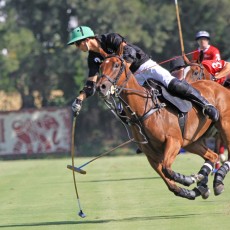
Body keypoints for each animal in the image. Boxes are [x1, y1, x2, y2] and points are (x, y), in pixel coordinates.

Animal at [96, 53, 230, 199]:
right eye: (101, 67)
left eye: (116, 65)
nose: (101, 87)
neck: (144, 109)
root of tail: (222, 89)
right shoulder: (152, 155)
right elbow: (170, 184)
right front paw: (192, 189)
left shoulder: (174, 141)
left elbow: (167, 169)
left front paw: (189, 179)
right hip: (191, 141)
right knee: (213, 156)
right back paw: (204, 182)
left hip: (224, 126)